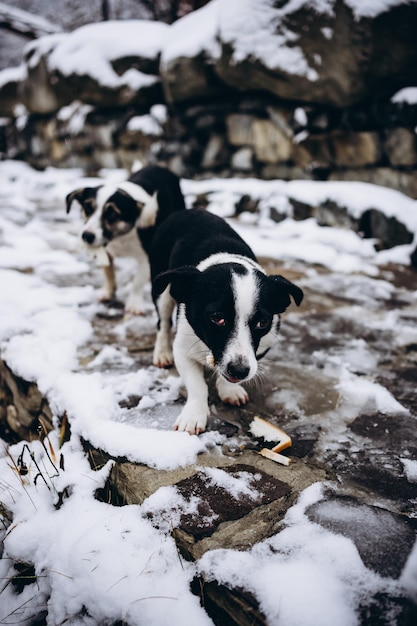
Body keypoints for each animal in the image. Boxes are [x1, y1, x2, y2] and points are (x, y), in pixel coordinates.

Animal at [65, 165, 185, 314]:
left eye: (112, 214)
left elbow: (137, 282)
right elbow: (109, 274)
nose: (87, 236)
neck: (121, 236)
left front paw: (134, 304)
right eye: (87, 208)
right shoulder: (106, 251)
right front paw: (108, 292)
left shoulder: (146, 257)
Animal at [150, 210, 302, 434]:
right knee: (162, 322)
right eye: (216, 318)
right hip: (162, 289)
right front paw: (193, 415)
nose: (239, 370)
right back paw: (162, 352)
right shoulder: (183, 348)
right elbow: (197, 384)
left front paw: (229, 389)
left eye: (262, 322)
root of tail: (187, 210)